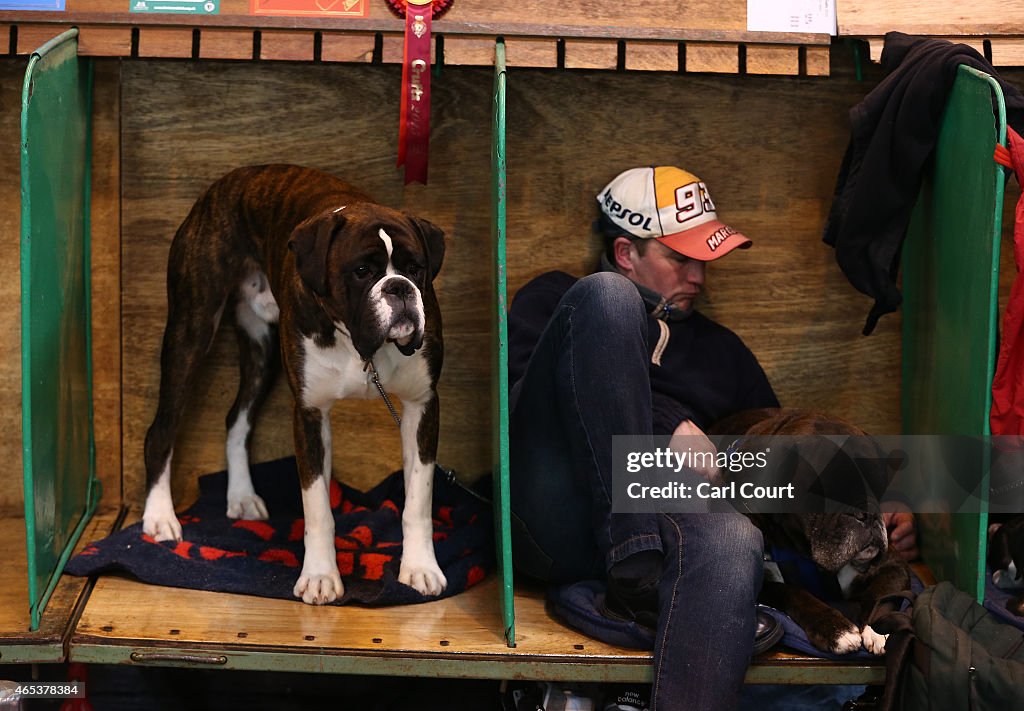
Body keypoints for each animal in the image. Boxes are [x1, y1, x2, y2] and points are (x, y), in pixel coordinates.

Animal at [142, 165, 446, 606]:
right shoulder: (309, 412)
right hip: (191, 331)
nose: (400, 288)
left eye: (416, 267)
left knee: (237, 418)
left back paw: (241, 496)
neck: (360, 345)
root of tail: (225, 184)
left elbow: (417, 501)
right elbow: (317, 507)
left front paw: (420, 568)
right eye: (362, 271)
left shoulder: (422, 406)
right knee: (162, 429)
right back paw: (159, 515)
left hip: (260, 349)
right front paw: (320, 576)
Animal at [712, 405, 913, 655]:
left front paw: (879, 629)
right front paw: (834, 628)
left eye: (879, 488)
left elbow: (883, 595)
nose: (867, 513)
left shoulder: (893, 565)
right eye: (824, 494)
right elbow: (791, 592)